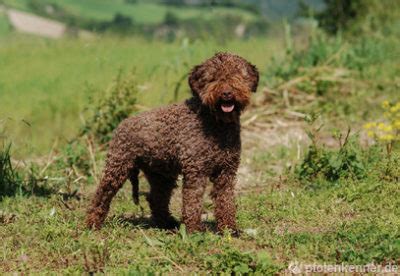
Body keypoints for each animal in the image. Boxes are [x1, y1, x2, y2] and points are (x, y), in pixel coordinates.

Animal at [86, 51, 258, 233]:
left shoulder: (226, 171)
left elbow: (226, 201)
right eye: (212, 78)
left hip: (161, 174)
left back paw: (167, 223)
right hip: (118, 166)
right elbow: (192, 203)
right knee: (101, 195)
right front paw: (194, 231)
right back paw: (92, 223)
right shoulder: (196, 171)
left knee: (156, 199)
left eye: (238, 75)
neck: (215, 123)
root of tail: (122, 124)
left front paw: (228, 229)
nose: (226, 93)